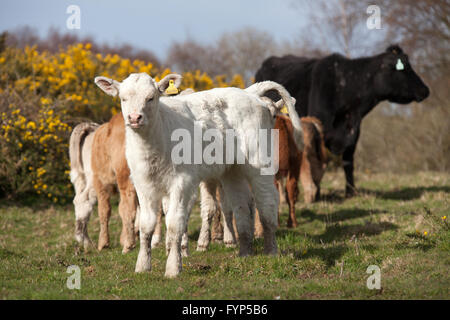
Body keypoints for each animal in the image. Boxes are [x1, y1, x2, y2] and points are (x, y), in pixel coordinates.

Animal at [256, 43, 428, 196]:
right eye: (405, 68)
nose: (425, 90)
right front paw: (317, 193)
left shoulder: (353, 134)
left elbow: (348, 162)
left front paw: (350, 191)